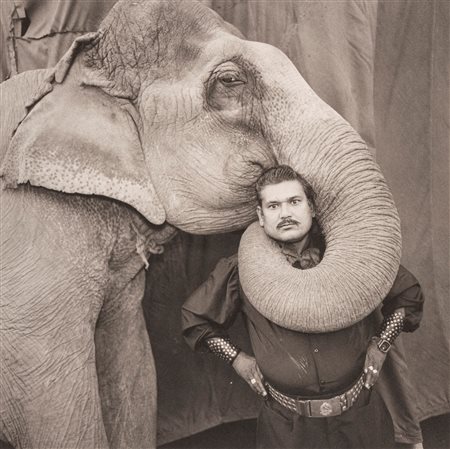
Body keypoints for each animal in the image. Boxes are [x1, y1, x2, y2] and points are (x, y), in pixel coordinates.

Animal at [0, 0, 400, 448]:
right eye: (230, 80)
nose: (279, 217)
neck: (67, 77)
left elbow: (134, 371)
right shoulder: (30, 274)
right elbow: (55, 413)